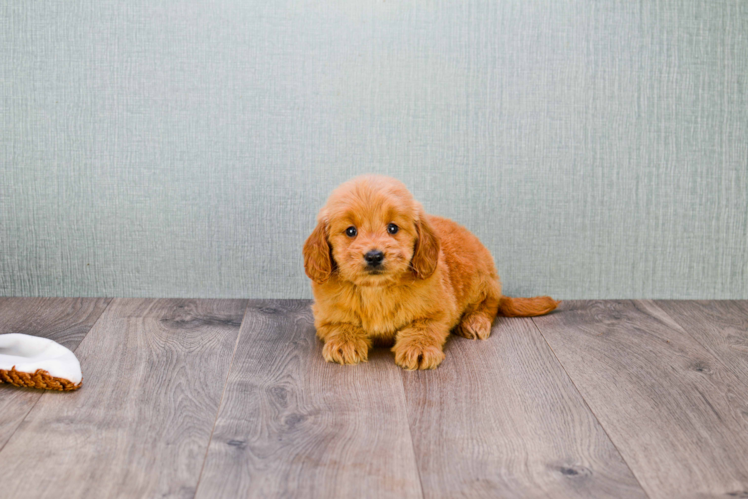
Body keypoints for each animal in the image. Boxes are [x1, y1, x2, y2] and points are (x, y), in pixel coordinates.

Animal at [300, 174, 560, 370]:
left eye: (392, 228)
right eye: (351, 231)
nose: (374, 256)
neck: (377, 290)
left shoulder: (438, 310)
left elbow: (422, 328)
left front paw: (418, 349)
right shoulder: (327, 314)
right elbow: (340, 325)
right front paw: (344, 343)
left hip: (483, 280)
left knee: (489, 304)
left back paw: (475, 321)